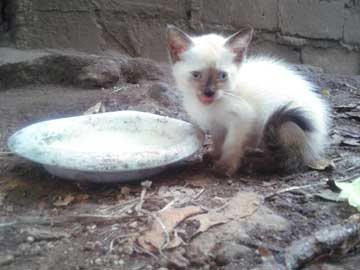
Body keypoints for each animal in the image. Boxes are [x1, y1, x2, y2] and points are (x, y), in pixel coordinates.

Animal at [166, 25, 330, 176]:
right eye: (196, 75)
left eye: (222, 76)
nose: (209, 93)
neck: (211, 107)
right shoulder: (217, 126)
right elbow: (219, 142)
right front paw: (214, 156)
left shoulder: (242, 119)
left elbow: (231, 145)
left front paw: (225, 166)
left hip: (284, 126)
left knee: (288, 160)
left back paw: (255, 164)